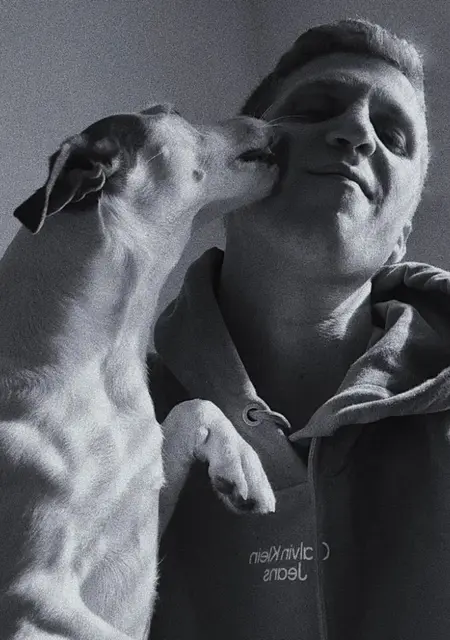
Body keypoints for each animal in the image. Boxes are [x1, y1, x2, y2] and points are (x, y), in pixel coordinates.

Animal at [0, 103, 277, 639]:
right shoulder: (32, 596)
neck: (102, 368)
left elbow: (193, 408)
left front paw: (243, 467)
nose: (267, 116)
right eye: (172, 113)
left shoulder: (144, 502)